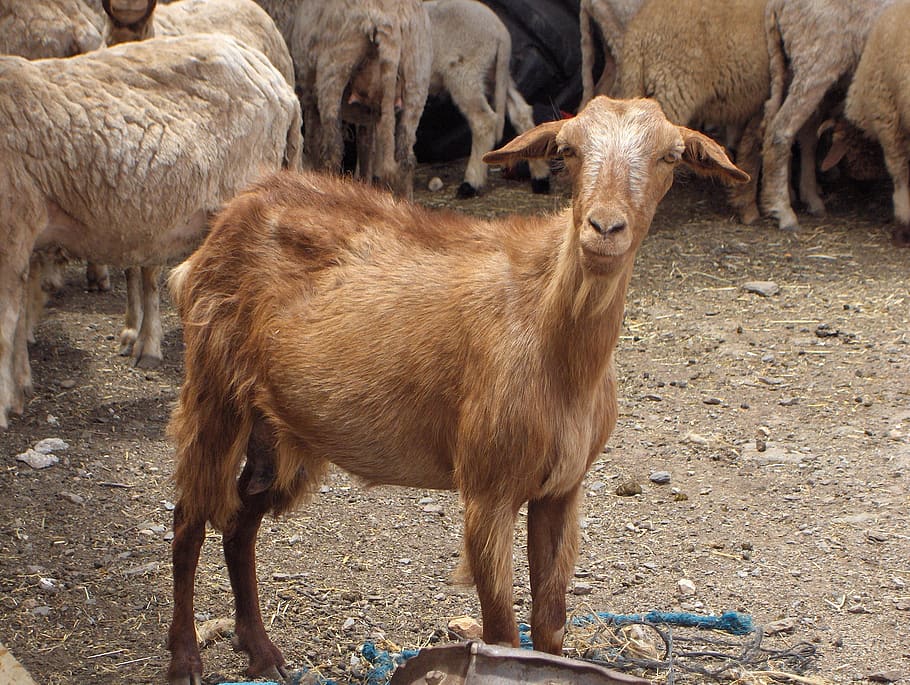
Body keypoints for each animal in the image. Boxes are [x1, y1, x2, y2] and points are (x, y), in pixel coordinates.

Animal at [165, 96, 748, 683]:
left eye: (670, 156)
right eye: (567, 150)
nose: (604, 227)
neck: (553, 341)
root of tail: (234, 212)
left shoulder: (562, 489)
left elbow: (550, 627)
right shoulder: (488, 489)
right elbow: (503, 632)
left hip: (282, 428)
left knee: (239, 521)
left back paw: (262, 651)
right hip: (213, 387)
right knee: (190, 519)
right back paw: (186, 658)